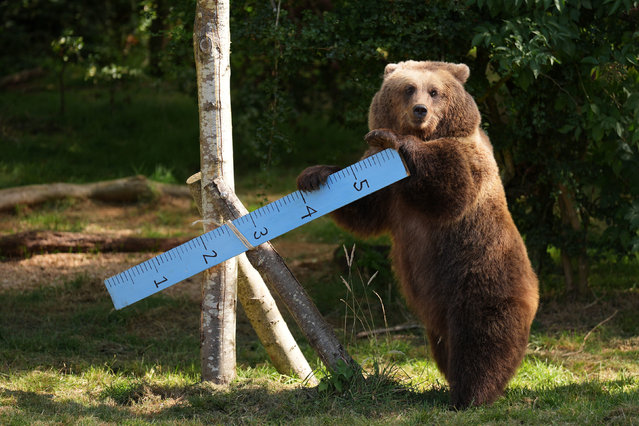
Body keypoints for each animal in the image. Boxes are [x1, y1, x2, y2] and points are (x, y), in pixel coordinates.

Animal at [298, 59, 536, 406]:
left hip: (481, 275)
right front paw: (314, 174)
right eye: (409, 88)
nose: (420, 110)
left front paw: (393, 138)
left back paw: (470, 394)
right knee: (443, 342)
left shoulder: (467, 159)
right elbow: (363, 209)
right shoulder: (387, 191)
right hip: (439, 304)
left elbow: (452, 189)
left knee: (482, 338)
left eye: (435, 91)